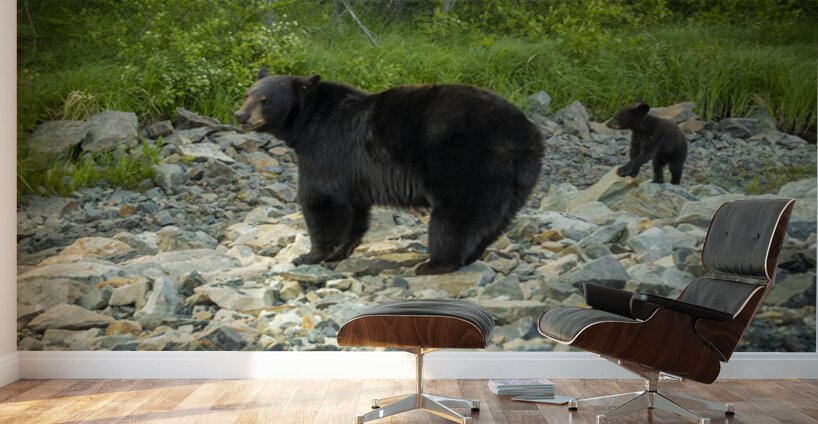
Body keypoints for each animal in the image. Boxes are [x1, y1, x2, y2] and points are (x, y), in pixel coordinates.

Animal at [234, 69, 544, 275]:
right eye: (248, 93)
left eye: (266, 99)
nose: (240, 115)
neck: (307, 123)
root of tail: (527, 134)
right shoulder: (354, 173)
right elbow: (355, 210)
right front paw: (341, 251)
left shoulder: (327, 149)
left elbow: (321, 199)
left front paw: (310, 255)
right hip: (517, 179)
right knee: (494, 219)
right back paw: (469, 256)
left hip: (467, 161)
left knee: (457, 214)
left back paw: (435, 263)